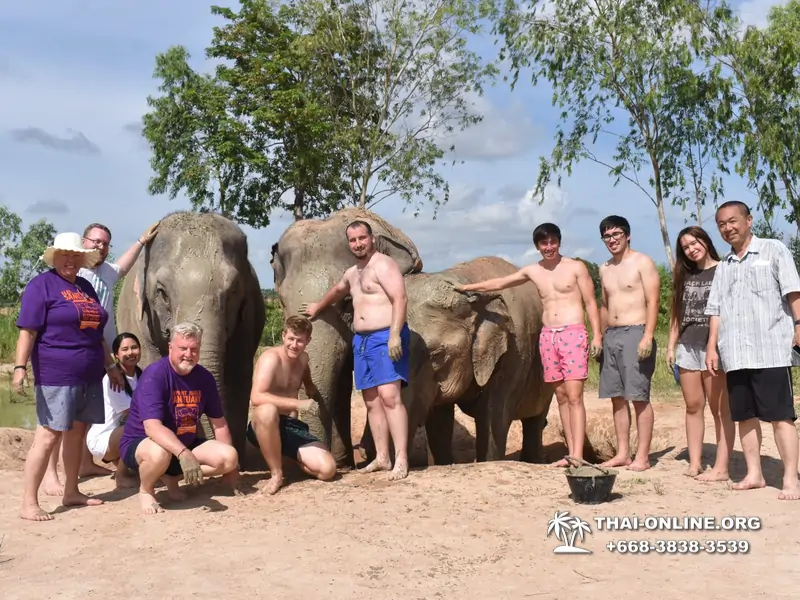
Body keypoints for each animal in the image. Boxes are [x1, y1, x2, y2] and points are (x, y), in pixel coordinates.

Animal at [358, 256, 556, 465]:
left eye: (436, 355)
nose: (364, 453)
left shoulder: (514, 353)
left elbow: (493, 417)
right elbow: (439, 419)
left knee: (535, 419)